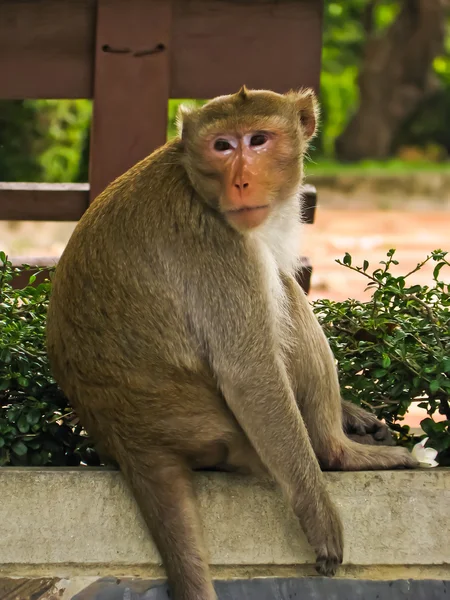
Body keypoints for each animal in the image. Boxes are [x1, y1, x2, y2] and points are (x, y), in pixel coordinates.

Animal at [46, 84, 418, 600]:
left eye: (258, 140)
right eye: (222, 146)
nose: (241, 182)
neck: (191, 176)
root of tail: (130, 440)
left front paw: (354, 412)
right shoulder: (215, 242)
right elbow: (250, 374)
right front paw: (318, 510)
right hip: (223, 435)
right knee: (281, 289)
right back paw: (338, 454)